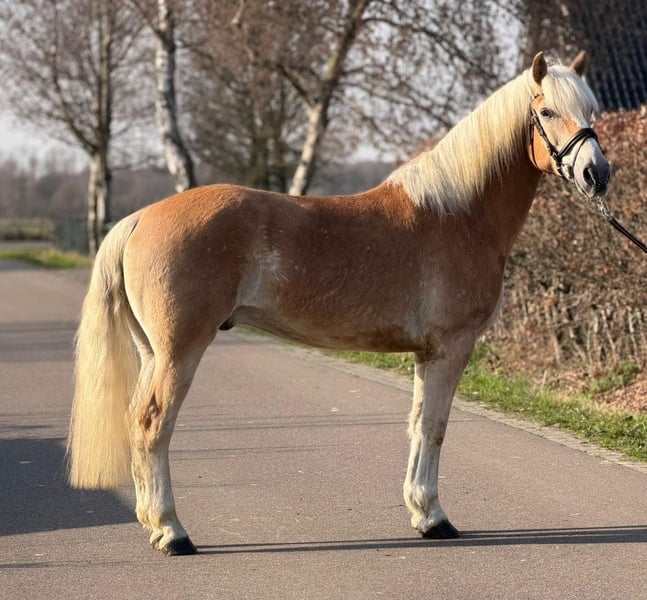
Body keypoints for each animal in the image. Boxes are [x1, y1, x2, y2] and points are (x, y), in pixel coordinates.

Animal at [67, 51, 611, 555]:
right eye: (546, 110)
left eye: (591, 109)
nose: (596, 174)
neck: (459, 214)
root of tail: (140, 218)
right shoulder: (451, 348)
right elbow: (435, 428)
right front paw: (436, 518)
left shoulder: (426, 354)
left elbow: (417, 427)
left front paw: (421, 513)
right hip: (179, 352)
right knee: (152, 425)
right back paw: (172, 532)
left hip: (152, 352)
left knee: (135, 422)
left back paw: (154, 522)